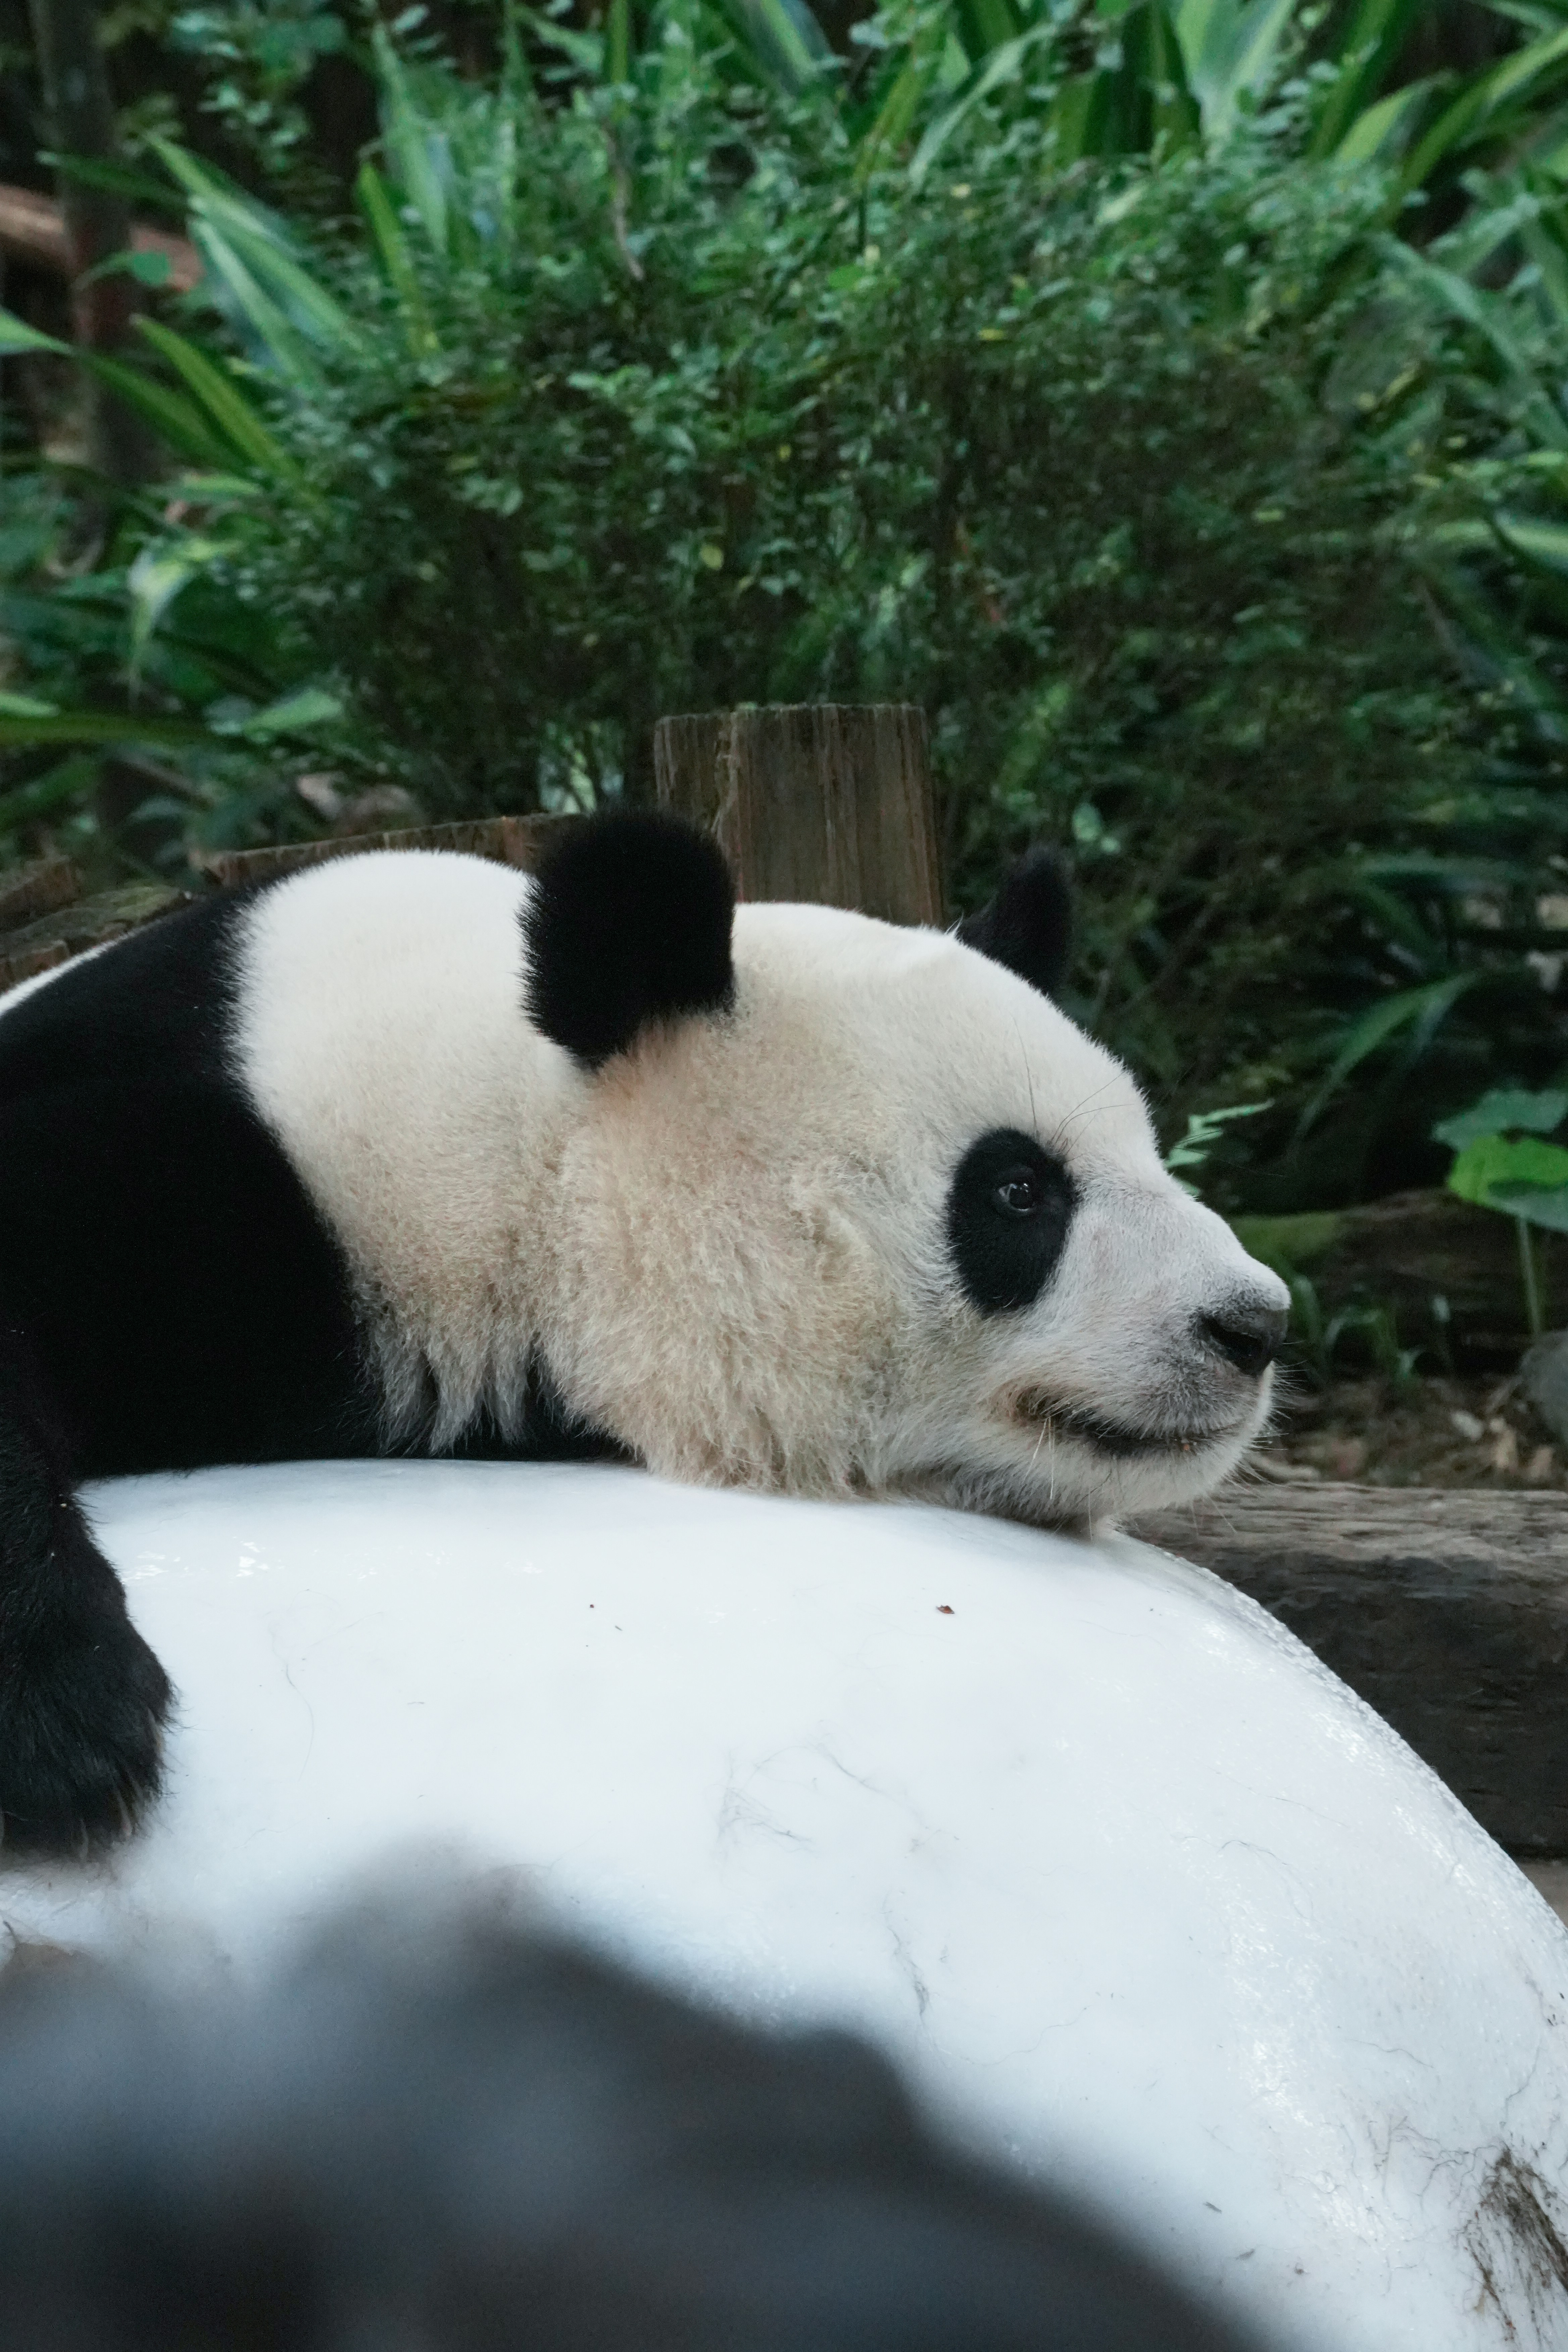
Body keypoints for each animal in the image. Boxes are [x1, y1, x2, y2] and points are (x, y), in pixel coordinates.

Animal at [0, 811, 1288, 1856]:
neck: (526, 1134)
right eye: (1018, 1191)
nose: (1253, 1322)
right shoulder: (246, 1175)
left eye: (1152, 1150)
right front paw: (69, 1730)